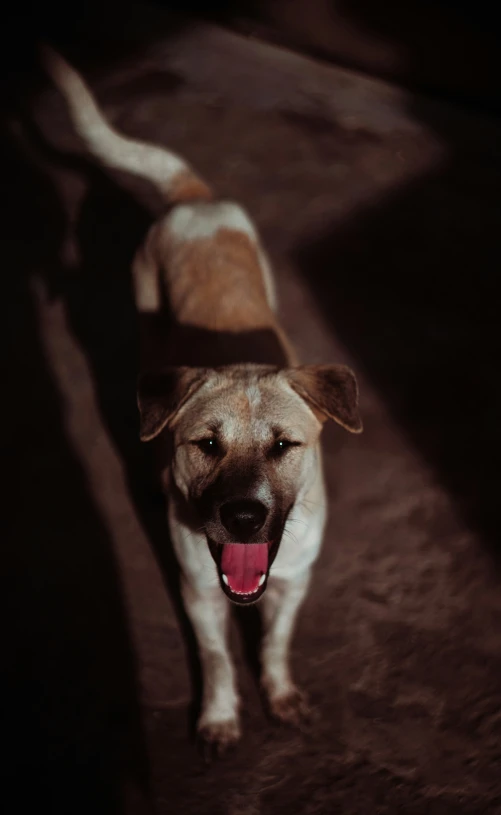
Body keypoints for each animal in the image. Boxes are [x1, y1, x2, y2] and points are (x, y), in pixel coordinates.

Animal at [42, 47, 364, 756]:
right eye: (206, 445)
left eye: (284, 445)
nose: (243, 518)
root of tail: (195, 199)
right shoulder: (197, 593)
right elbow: (217, 657)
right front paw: (218, 717)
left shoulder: (293, 582)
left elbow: (274, 643)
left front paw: (279, 693)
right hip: (145, 321)